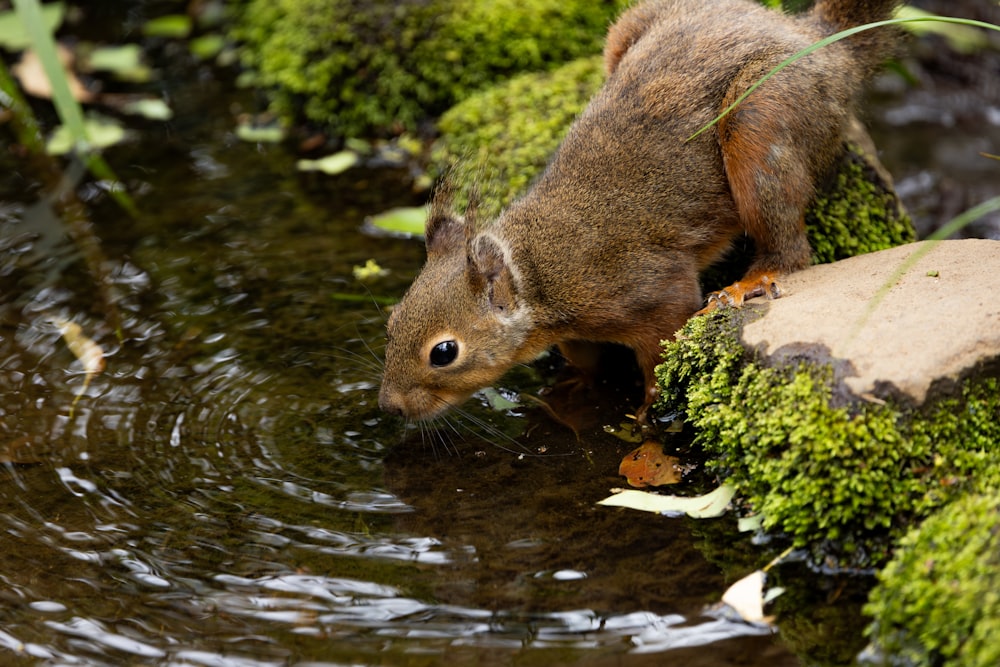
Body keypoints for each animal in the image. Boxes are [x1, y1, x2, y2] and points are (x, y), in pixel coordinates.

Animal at [378, 0, 904, 422]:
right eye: (391, 321)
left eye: (444, 352)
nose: (390, 407)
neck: (542, 269)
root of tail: (815, 38)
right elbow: (583, 359)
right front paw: (576, 388)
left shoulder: (652, 290)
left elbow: (659, 347)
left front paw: (650, 407)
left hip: (763, 119)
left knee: (790, 246)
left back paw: (753, 280)